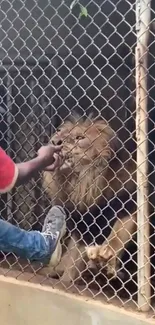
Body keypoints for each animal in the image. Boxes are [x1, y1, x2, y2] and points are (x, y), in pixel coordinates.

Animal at [42, 115, 136, 282]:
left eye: (80, 138)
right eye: (59, 134)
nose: (55, 141)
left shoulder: (129, 202)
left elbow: (119, 231)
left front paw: (106, 252)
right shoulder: (83, 221)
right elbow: (73, 255)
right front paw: (66, 279)